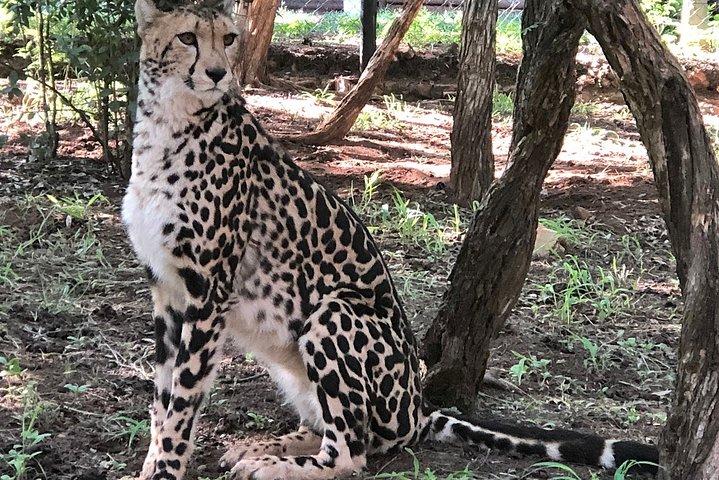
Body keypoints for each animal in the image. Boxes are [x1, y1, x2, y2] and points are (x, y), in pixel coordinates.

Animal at [121, 0, 659, 478]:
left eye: (229, 39)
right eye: (187, 38)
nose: (217, 73)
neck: (169, 125)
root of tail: (418, 405)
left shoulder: (208, 295)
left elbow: (182, 402)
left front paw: (166, 470)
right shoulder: (167, 291)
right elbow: (162, 397)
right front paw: (151, 466)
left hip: (333, 311)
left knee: (351, 452)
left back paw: (272, 464)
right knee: (336, 431)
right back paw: (264, 445)